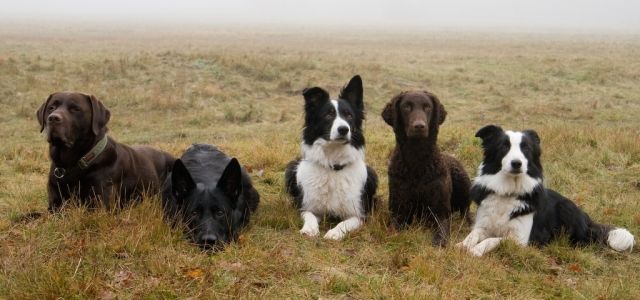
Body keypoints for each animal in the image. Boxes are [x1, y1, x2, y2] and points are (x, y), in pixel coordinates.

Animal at [284, 75, 378, 241]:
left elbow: (345, 223)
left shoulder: (359, 214)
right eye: (328, 115)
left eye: (349, 115)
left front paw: (334, 232)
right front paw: (309, 229)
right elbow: (309, 216)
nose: (343, 129)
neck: (333, 165)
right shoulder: (307, 206)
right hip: (292, 168)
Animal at [458, 125, 632, 256]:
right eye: (504, 146)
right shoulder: (483, 225)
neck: (509, 192)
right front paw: (463, 245)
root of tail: (587, 219)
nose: (517, 163)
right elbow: (473, 234)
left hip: (566, 208)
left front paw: (476, 250)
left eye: (526, 148)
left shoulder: (520, 239)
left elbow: (492, 240)